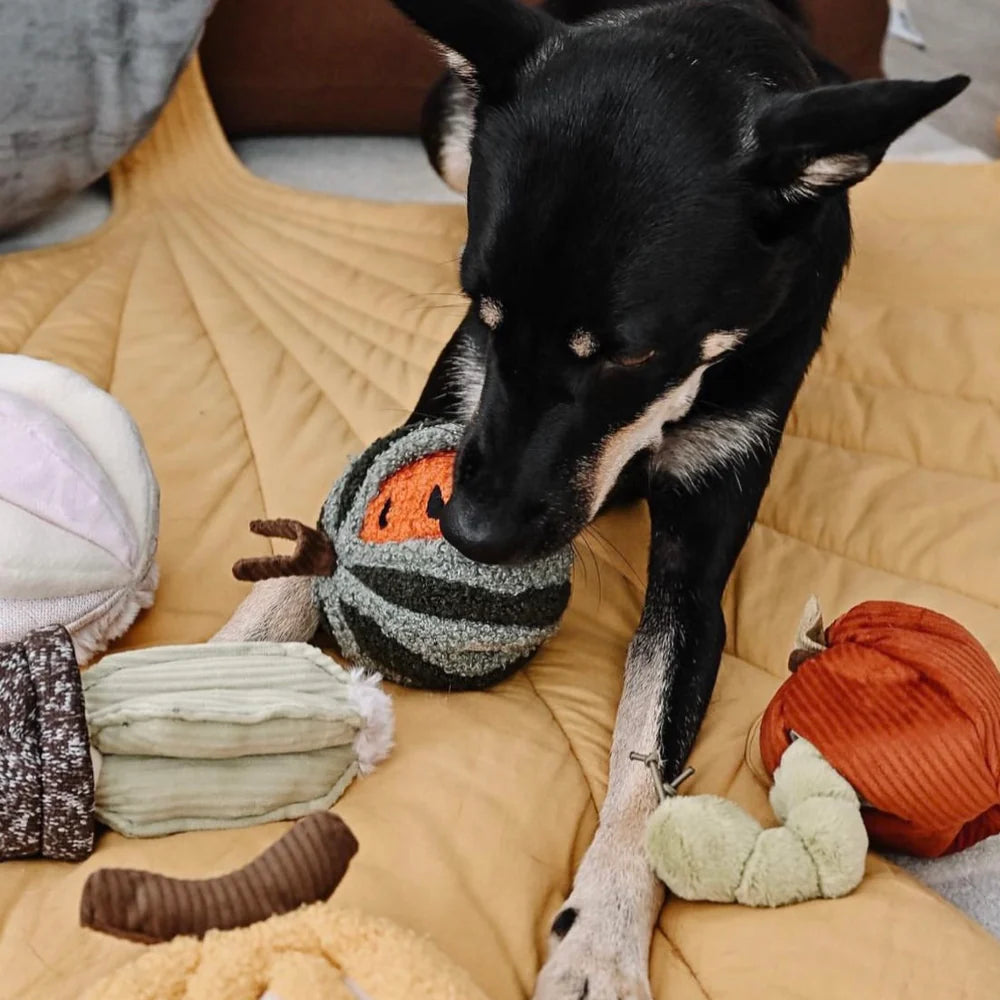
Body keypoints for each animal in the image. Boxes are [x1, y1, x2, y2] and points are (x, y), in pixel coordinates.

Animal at [386, 3, 964, 996]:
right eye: (485, 311)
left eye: (628, 354)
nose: (467, 533)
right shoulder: (450, 407)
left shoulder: (695, 574)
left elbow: (647, 758)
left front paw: (602, 934)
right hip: (446, 120)